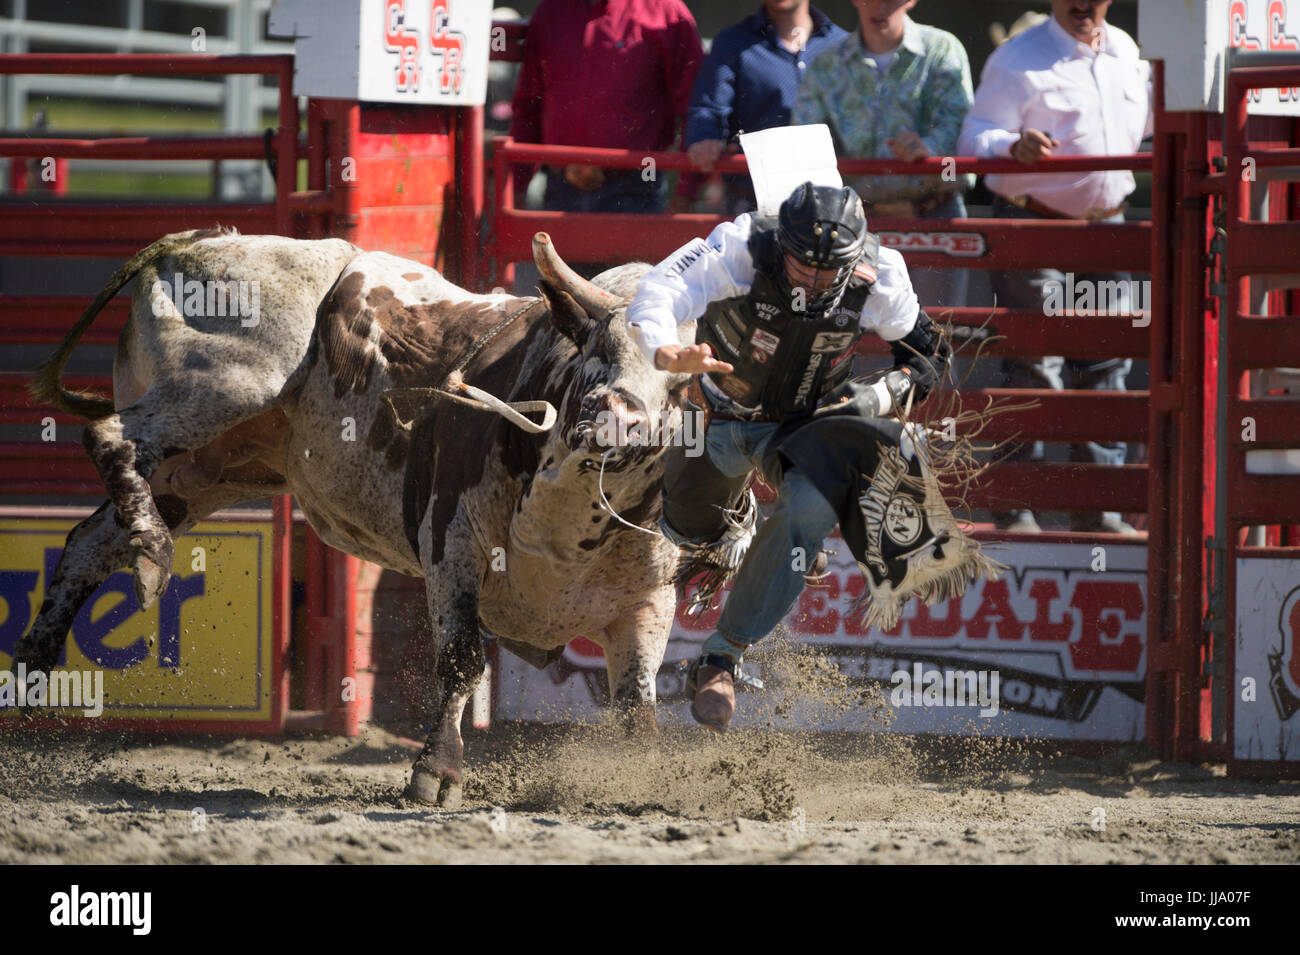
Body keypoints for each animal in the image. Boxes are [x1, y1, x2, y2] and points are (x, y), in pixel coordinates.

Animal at [15, 231, 696, 805]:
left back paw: (30, 678)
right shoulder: (453, 543)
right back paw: (153, 557)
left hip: (204, 469)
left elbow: (636, 700)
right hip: (224, 388)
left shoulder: (649, 599)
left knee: (88, 540)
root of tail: (189, 243)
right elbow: (462, 663)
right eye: (599, 350)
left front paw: (642, 782)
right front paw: (435, 773)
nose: (615, 418)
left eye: (683, 383)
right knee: (112, 439)